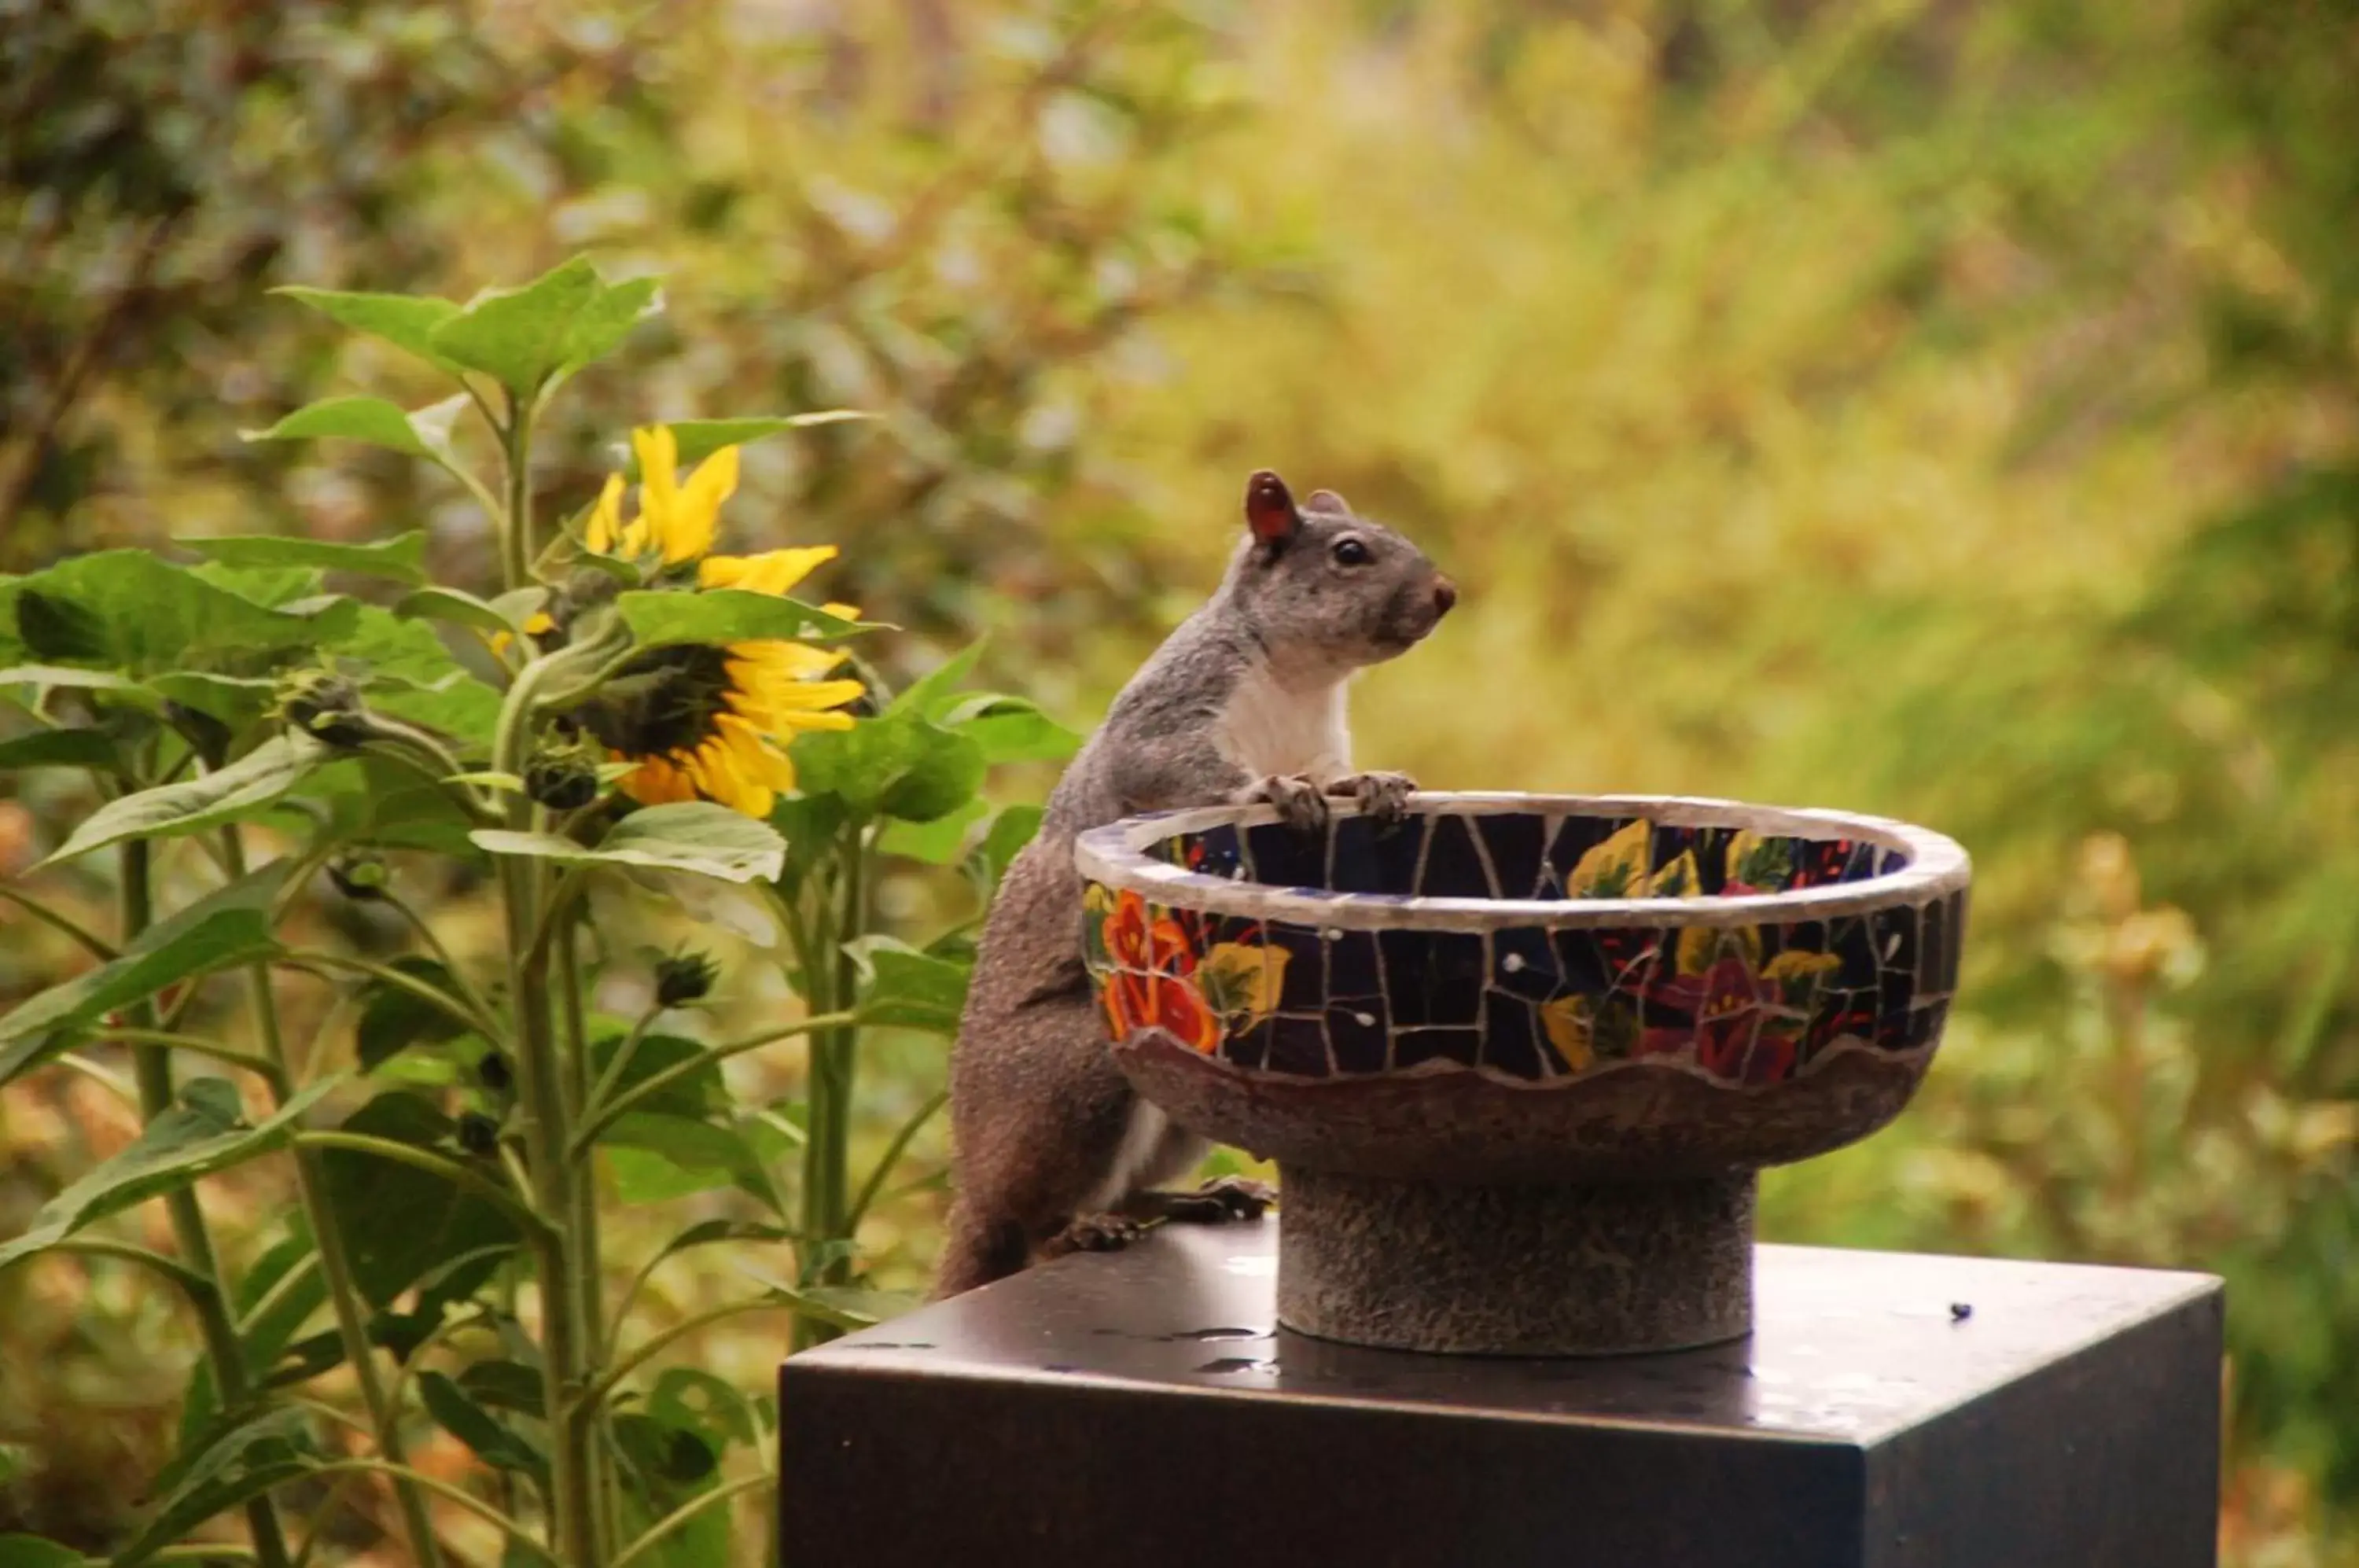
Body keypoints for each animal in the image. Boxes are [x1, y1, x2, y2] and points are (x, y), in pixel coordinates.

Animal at [934, 466, 1453, 1292]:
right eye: (1350, 553)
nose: (1445, 593)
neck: (1300, 677)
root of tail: (974, 1186)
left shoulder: (1321, 741)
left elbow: (1334, 778)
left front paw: (1373, 786)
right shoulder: (1173, 712)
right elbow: (1174, 768)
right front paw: (1271, 791)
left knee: (1136, 1185)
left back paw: (1201, 1197)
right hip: (1078, 1077)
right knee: (1040, 1221)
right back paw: (1081, 1230)